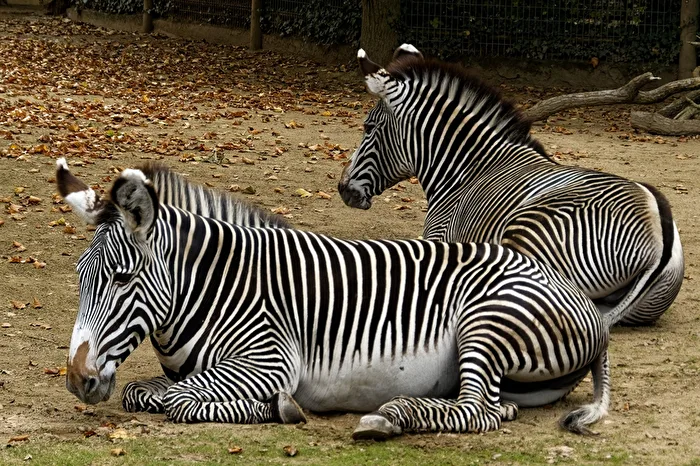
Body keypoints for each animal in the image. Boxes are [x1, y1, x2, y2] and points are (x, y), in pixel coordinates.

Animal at [58, 158, 612, 437]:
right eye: (81, 278)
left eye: (122, 278)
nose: (77, 381)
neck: (211, 288)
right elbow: (142, 391)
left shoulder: (270, 361)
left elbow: (175, 401)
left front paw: (279, 409)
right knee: (499, 409)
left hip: (487, 320)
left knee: (478, 412)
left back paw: (391, 417)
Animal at [338, 44, 684, 326]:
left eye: (368, 127)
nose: (343, 189)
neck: (467, 169)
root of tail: (658, 240)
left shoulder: (437, 237)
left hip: (528, 230)